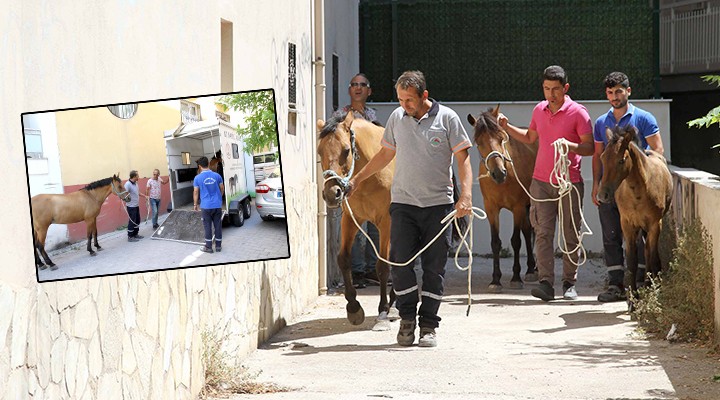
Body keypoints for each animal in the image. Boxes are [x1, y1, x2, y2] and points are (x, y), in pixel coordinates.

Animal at [316, 111, 394, 324]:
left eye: (345, 150)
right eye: (319, 152)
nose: (332, 193)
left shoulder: (386, 221)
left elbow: (383, 265)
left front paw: (383, 308)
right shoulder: (351, 219)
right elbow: (343, 258)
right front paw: (353, 307)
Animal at [466, 104, 540, 292]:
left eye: (501, 138)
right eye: (479, 142)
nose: (498, 173)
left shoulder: (518, 207)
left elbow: (515, 241)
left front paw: (515, 278)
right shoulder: (491, 208)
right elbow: (495, 242)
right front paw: (495, 280)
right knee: (528, 231)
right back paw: (531, 269)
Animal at [596, 125, 668, 296]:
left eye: (621, 160)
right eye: (602, 157)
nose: (602, 195)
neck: (639, 192)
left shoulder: (655, 224)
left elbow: (652, 257)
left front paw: (654, 290)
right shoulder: (627, 224)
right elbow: (632, 260)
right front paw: (633, 296)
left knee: (648, 253)